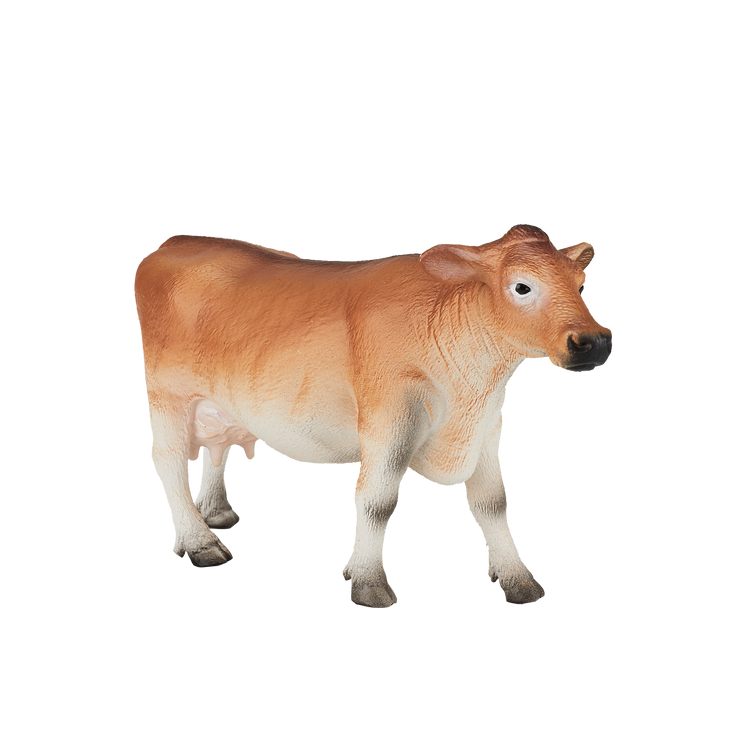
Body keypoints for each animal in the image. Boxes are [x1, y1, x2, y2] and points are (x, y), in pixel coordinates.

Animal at [131, 223, 614, 610]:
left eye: (581, 285)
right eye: (522, 287)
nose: (594, 341)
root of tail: (174, 241)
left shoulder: (488, 423)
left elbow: (492, 503)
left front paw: (519, 581)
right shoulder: (392, 415)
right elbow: (376, 501)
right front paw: (368, 584)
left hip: (222, 400)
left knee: (218, 449)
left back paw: (215, 513)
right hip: (168, 394)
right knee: (168, 461)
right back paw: (199, 543)